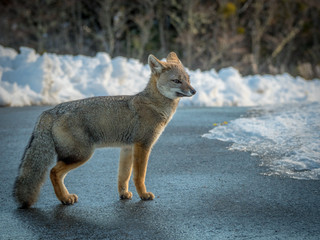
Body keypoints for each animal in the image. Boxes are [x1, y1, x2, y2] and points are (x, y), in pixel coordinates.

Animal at [13, 52, 195, 208]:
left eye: (188, 79)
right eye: (177, 81)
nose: (194, 91)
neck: (155, 105)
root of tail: (51, 110)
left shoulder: (127, 148)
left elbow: (123, 176)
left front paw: (124, 194)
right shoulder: (143, 146)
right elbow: (139, 176)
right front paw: (143, 195)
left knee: (55, 173)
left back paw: (65, 197)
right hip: (81, 155)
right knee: (53, 172)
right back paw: (65, 198)